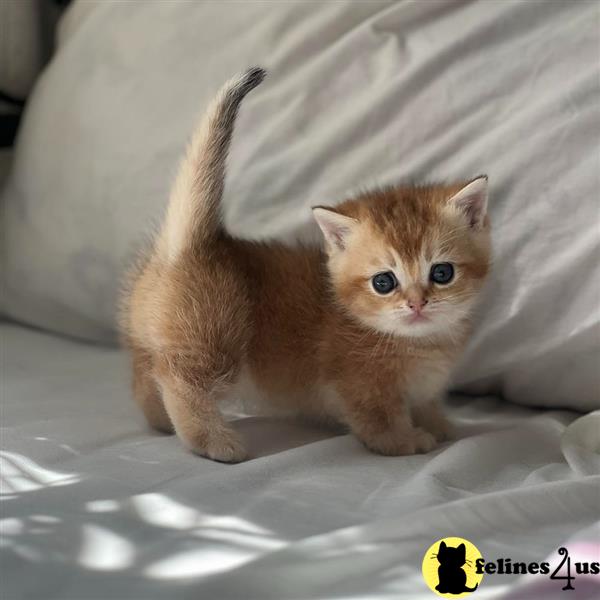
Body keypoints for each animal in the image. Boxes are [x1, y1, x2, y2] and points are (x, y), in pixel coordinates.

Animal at [120, 68, 492, 462]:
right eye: (384, 282)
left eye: (442, 273)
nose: (417, 303)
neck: (422, 342)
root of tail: (192, 242)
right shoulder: (360, 384)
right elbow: (378, 419)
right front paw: (404, 439)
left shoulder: (422, 386)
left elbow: (425, 403)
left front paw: (439, 425)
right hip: (214, 343)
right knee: (179, 380)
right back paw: (210, 440)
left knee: (148, 376)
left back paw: (161, 421)